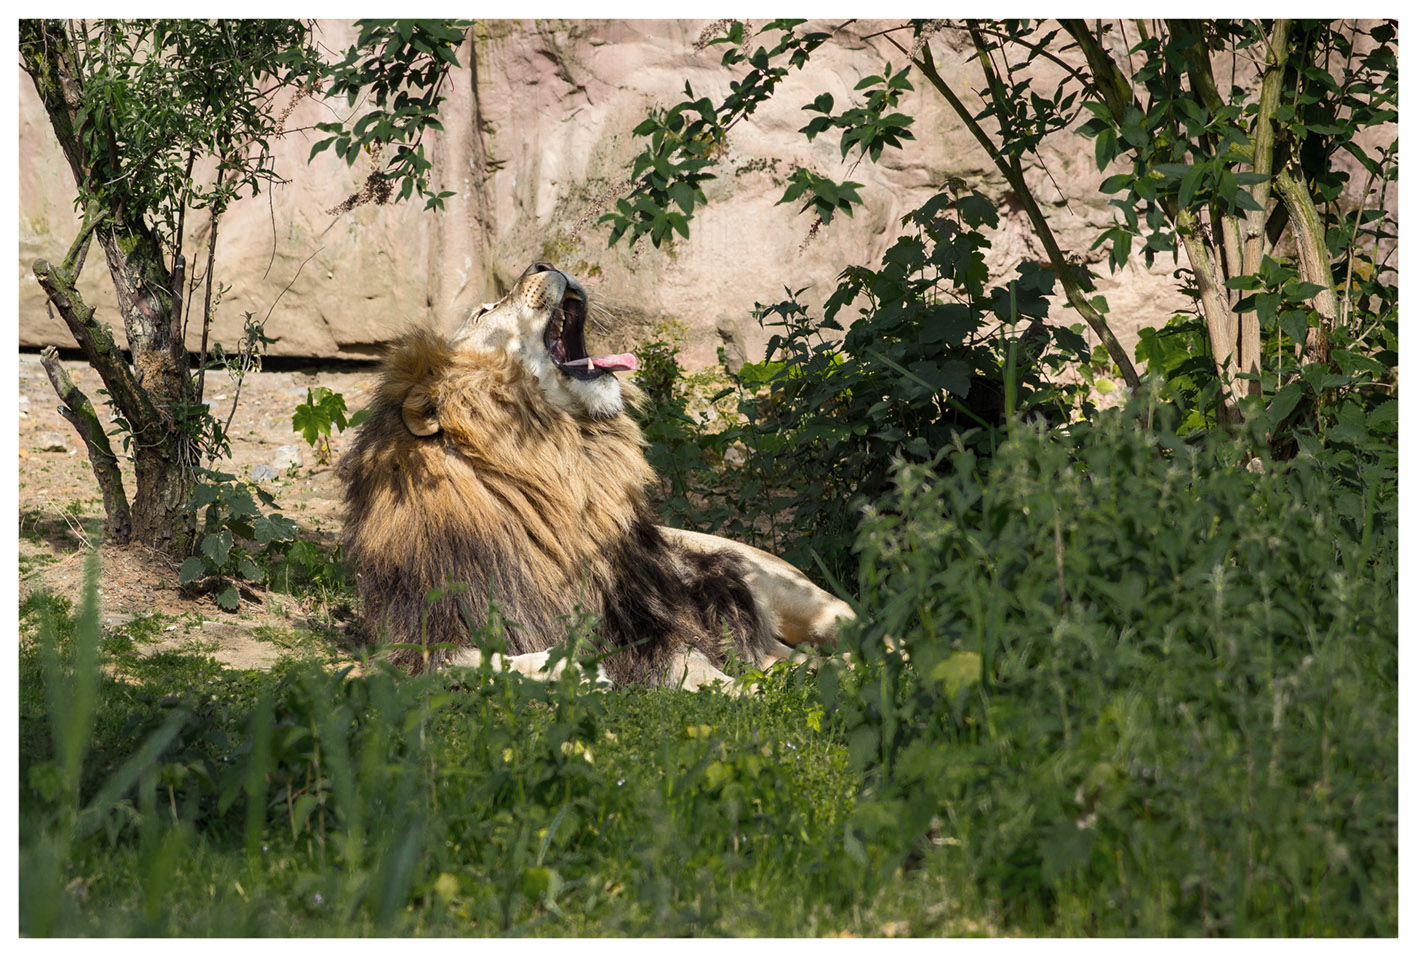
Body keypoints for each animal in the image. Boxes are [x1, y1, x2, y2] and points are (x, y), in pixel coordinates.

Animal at [337, 262, 850, 689]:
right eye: (484, 312)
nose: (543, 263)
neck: (563, 466)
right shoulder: (414, 635)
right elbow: (465, 662)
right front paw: (567, 668)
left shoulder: (648, 620)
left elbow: (699, 670)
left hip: (797, 593)